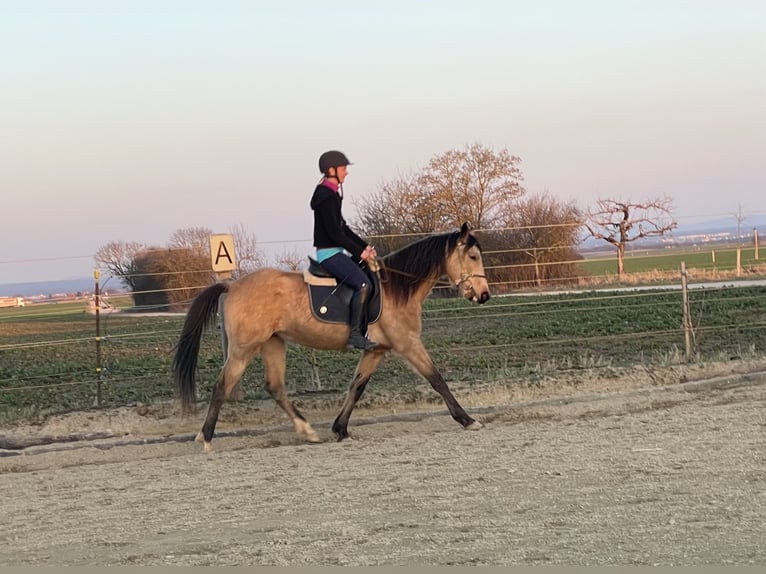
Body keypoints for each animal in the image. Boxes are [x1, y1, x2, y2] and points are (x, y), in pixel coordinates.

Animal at [172, 222, 491, 452]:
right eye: (473, 256)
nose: (484, 295)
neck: (397, 289)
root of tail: (233, 285)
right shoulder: (408, 343)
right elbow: (436, 379)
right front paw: (468, 420)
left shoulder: (376, 350)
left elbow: (356, 387)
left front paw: (341, 429)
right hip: (243, 348)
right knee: (221, 386)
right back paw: (206, 438)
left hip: (273, 343)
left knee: (275, 387)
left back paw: (307, 431)